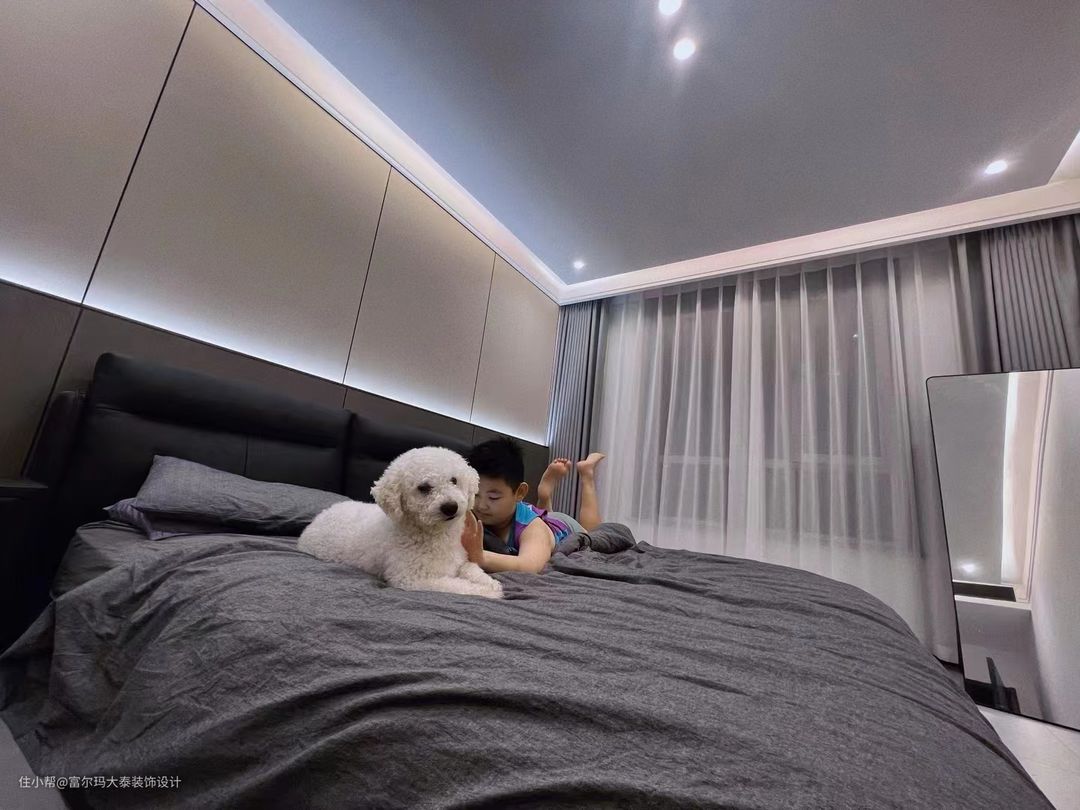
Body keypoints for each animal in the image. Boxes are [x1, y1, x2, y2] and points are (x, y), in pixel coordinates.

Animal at [299, 446, 503, 599]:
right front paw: (487, 592)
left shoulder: (459, 561)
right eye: (423, 488)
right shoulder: (413, 579)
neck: (433, 535)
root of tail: (321, 516)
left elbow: (471, 568)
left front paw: (490, 583)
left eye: (454, 480)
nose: (450, 507)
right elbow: (459, 586)